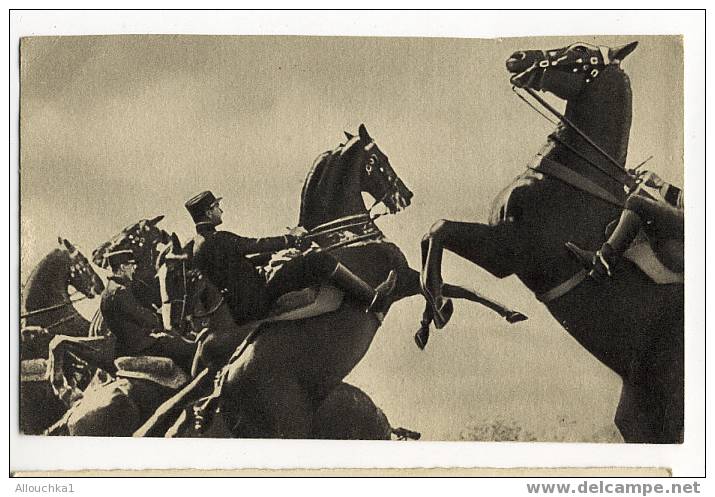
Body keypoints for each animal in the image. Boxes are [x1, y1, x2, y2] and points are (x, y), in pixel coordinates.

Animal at [140, 125, 510, 438]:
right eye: (381, 160)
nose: (406, 194)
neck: (342, 236)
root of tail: (223, 388)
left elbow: (449, 287)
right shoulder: (401, 278)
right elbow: (440, 286)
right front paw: (441, 314)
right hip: (289, 427)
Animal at [422, 39, 684, 442]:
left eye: (579, 50)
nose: (517, 57)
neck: (574, 176)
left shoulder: (510, 250)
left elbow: (440, 229)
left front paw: (438, 304)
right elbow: (432, 232)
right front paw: (429, 312)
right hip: (638, 410)